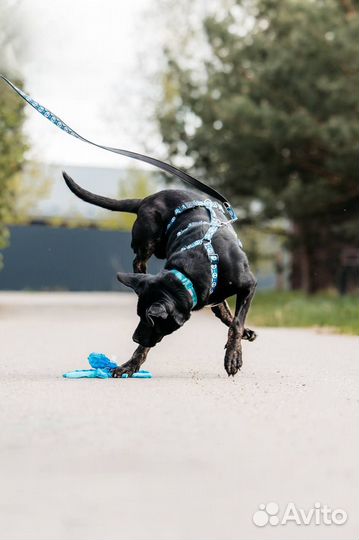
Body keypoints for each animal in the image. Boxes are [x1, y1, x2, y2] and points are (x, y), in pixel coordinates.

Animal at [63, 173, 258, 376]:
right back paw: (140, 273)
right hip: (147, 235)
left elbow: (237, 323)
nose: (134, 338)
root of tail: (146, 199)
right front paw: (130, 364)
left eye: (152, 321)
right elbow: (145, 347)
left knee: (224, 312)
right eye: (139, 316)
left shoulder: (249, 285)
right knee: (138, 259)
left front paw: (233, 356)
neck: (191, 271)